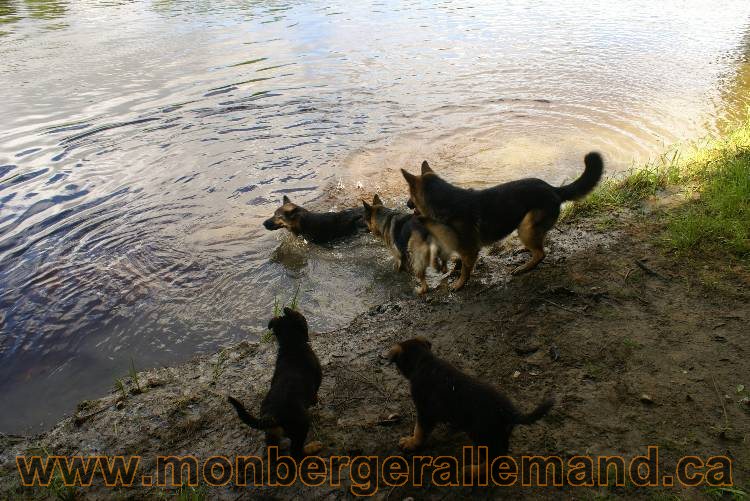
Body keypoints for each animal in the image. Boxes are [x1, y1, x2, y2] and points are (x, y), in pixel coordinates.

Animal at [229, 304, 324, 458]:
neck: (292, 344)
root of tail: (272, 416)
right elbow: (315, 394)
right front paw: (315, 402)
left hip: (271, 433)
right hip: (302, 425)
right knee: (297, 452)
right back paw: (313, 447)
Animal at [390, 336, 556, 460]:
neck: (424, 361)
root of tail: (508, 411)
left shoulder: (425, 410)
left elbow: (419, 430)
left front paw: (411, 442)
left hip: (484, 436)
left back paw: (472, 472)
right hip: (499, 435)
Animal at [400, 152, 604, 290]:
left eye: (410, 195)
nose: (407, 204)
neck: (445, 200)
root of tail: (554, 189)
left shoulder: (470, 250)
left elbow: (466, 269)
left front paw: (459, 284)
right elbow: (459, 262)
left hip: (526, 226)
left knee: (541, 253)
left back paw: (524, 267)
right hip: (528, 227)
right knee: (540, 244)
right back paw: (525, 249)